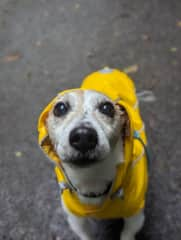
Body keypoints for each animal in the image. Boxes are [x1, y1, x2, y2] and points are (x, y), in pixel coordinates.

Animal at [37, 67, 149, 240]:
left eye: (107, 108)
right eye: (60, 108)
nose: (83, 136)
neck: (91, 178)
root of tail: (107, 69)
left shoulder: (135, 216)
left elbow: (127, 233)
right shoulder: (76, 220)